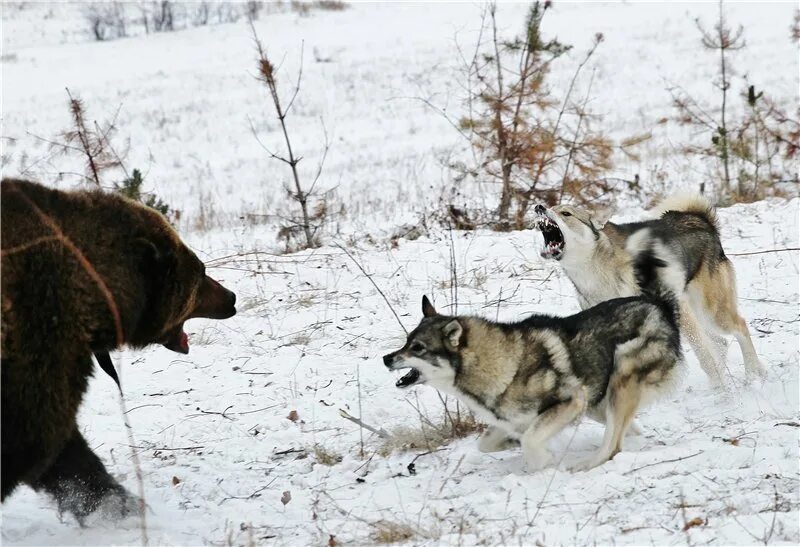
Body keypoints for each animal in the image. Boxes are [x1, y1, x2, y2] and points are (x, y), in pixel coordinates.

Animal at [384, 250, 684, 474]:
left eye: (418, 348)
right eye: (406, 341)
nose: (386, 358)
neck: (504, 364)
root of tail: (659, 306)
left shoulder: (571, 400)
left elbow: (530, 440)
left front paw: (542, 462)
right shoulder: (523, 418)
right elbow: (488, 443)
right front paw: (512, 443)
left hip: (619, 377)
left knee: (613, 445)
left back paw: (586, 464)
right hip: (598, 401)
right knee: (627, 429)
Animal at [536, 193, 764, 386]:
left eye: (565, 213)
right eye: (551, 207)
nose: (539, 207)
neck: (595, 270)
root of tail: (700, 219)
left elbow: (704, 357)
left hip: (711, 313)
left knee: (740, 328)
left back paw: (754, 375)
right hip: (699, 315)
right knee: (721, 343)